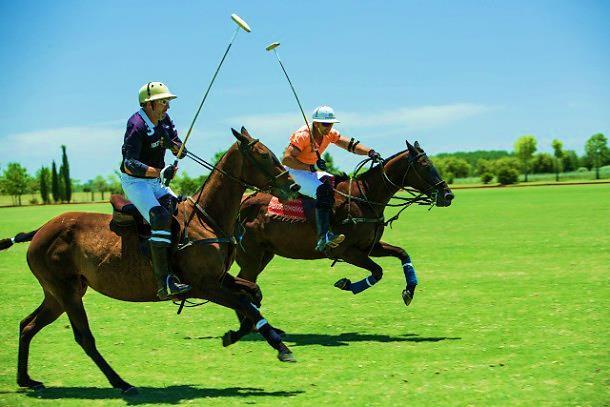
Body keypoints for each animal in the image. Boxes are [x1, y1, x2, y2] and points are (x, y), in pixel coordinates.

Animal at [1, 128, 300, 396]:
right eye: (263, 155)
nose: (293, 186)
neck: (206, 218)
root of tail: (39, 231)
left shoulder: (219, 279)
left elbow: (253, 296)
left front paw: (233, 335)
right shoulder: (204, 286)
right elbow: (247, 304)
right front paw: (282, 349)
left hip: (58, 293)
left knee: (27, 325)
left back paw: (26, 379)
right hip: (67, 292)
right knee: (84, 338)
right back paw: (122, 383)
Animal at [223, 139, 452, 344]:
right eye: (425, 166)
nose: (448, 195)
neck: (364, 199)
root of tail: (242, 203)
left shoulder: (369, 247)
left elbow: (402, 253)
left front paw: (409, 291)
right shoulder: (345, 251)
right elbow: (377, 271)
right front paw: (347, 284)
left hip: (264, 255)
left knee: (243, 282)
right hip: (252, 257)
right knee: (242, 282)